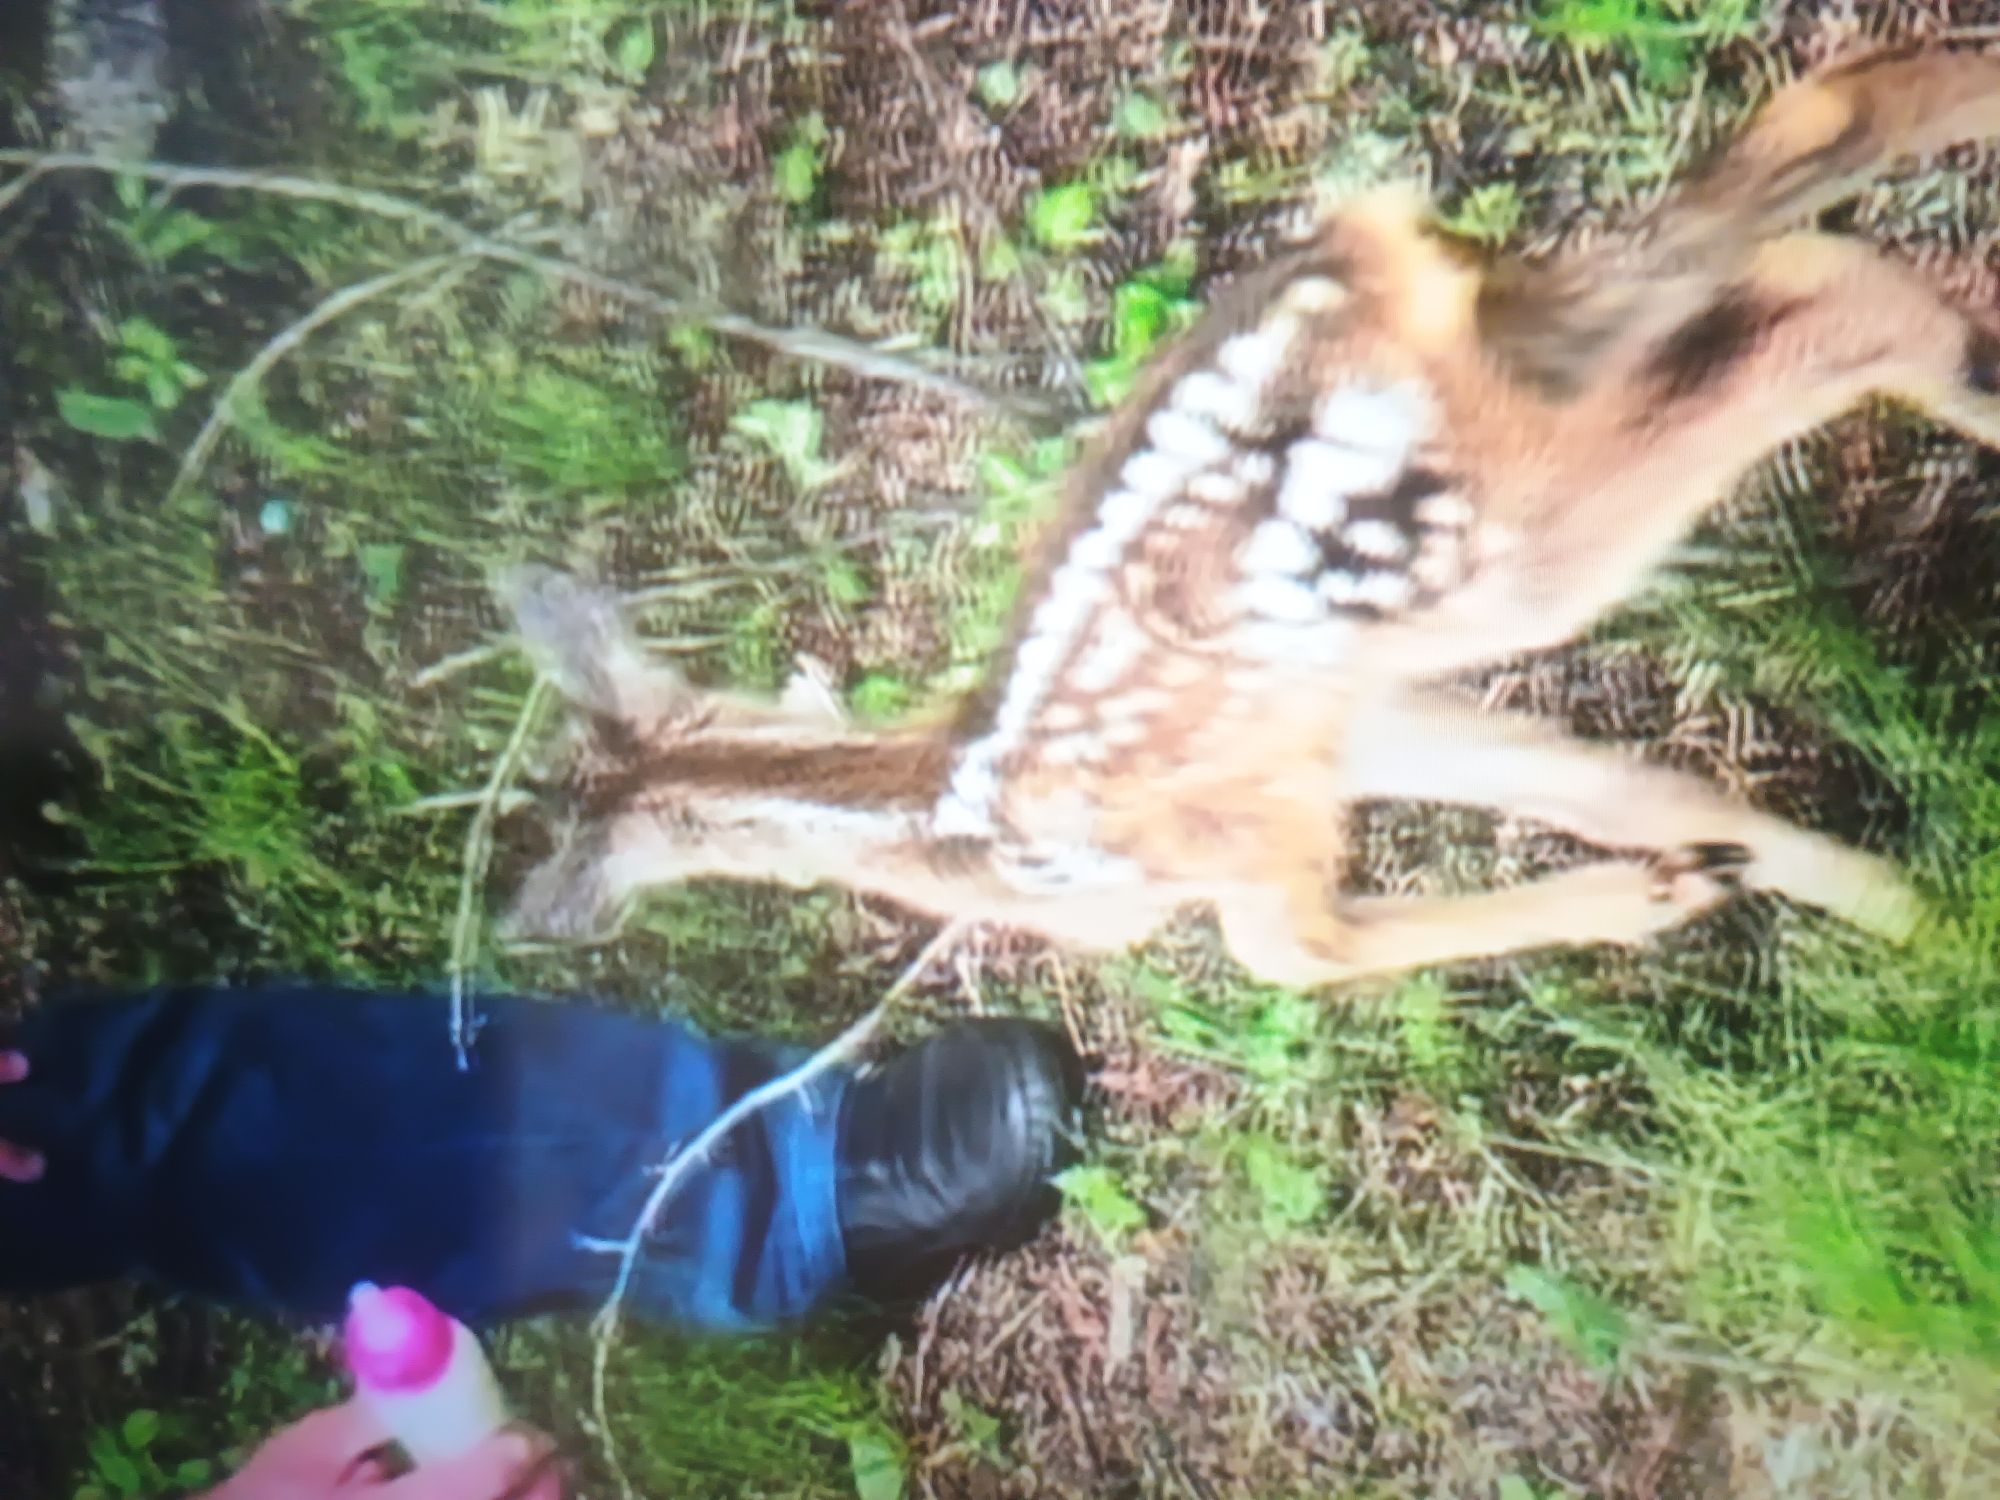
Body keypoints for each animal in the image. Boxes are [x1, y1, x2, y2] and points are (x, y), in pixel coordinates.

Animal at [493, 45, 2000, 993]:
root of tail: (1367, 266)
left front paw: (1685, 896)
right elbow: (1631, 790)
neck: (917, 817)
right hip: (1496, 453)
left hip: (1485, 544)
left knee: (1822, 279)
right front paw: (1898, 919)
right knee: (1787, 209)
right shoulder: (1338, 730)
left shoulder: (1232, 846)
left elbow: (1299, 956)